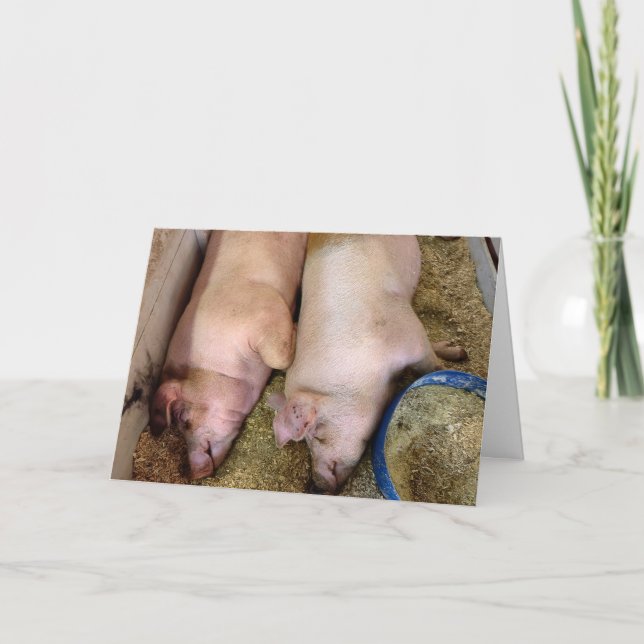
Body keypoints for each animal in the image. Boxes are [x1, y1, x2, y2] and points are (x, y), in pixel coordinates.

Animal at [270, 234, 466, 493]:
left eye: (316, 434)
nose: (316, 484)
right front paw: (460, 353)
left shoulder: (410, 333)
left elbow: (431, 367)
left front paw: (451, 365)